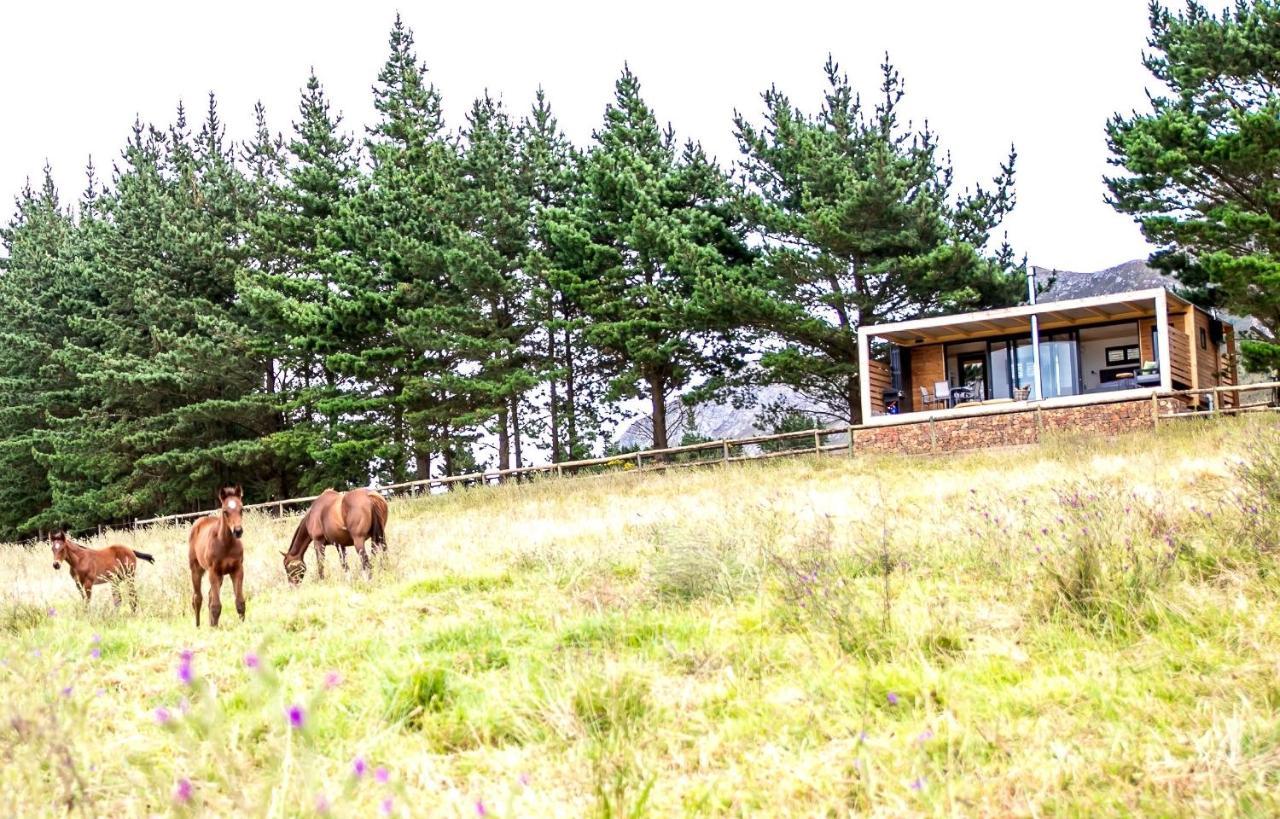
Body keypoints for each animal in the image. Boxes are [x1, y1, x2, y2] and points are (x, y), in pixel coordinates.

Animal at [186, 486, 247, 627]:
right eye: (225, 511)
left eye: (241, 509)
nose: (238, 531)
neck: (226, 544)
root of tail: (200, 520)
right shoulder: (213, 571)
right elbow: (216, 606)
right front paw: (214, 628)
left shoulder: (237, 570)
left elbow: (240, 602)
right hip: (196, 570)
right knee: (197, 598)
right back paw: (198, 626)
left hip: (220, 576)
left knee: (209, 596)